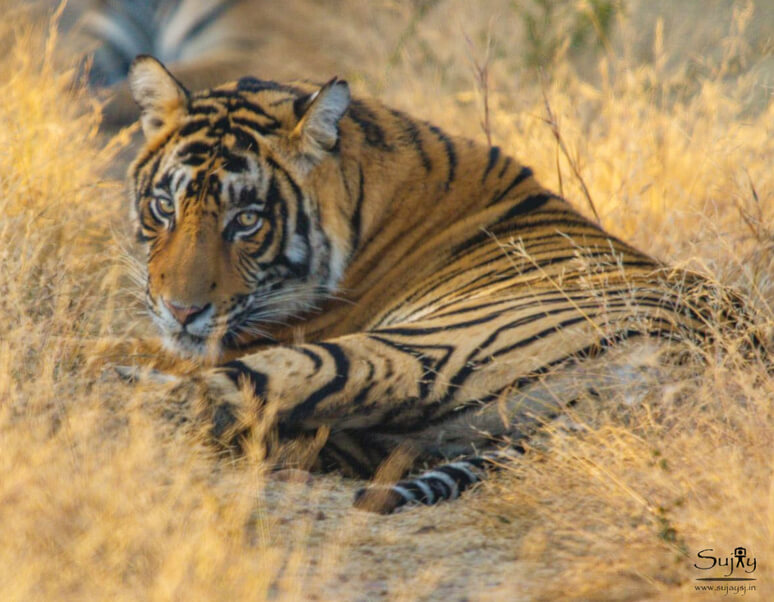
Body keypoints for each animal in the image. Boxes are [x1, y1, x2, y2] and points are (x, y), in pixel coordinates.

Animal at [124, 54, 760, 514]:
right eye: (164, 207)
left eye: (247, 221)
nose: (180, 311)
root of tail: (690, 368)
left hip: (412, 350)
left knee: (203, 399)